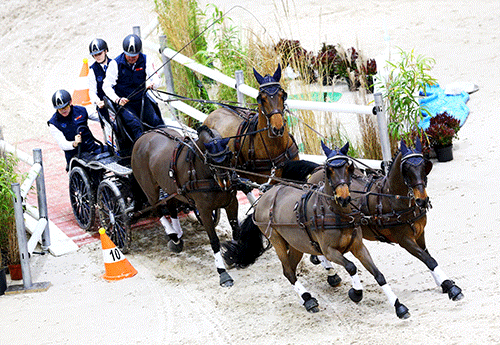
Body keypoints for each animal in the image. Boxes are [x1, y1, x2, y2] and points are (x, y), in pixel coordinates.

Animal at [131, 125, 240, 286]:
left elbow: (236, 230)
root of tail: (143, 136)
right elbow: (214, 241)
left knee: (171, 207)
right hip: (149, 189)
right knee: (156, 208)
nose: (225, 182)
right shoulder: (204, 210)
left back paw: (177, 234)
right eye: (210, 160)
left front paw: (235, 254)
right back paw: (173, 236)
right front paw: (223, 273)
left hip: (172, 189)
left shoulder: (232, 203)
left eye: (228, 156)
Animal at [224, 140, 410, 318]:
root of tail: (262, 200)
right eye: (329, 170)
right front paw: (356, 292)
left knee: (292, 267)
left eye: (348, 167)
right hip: (277, 241)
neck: (335, 213)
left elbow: (378, 274)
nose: (344, 198)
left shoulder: (358, 246)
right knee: (288, 271)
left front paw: (398, 306)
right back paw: (308, 299)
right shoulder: (330, 251)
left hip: (296, 243)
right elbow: (351, 267)